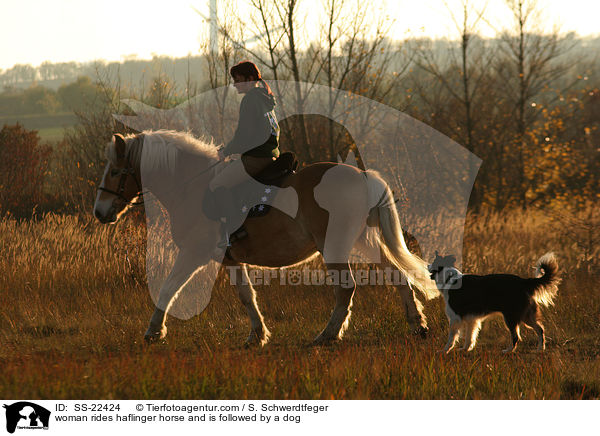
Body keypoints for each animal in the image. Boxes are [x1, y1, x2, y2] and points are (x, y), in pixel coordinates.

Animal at [94, 131, 438, 346]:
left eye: (114, 171)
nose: (100, 212)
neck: (191, 186)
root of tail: (362, 176)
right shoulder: (230, 259)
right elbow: (246, 295)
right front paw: (257, 335)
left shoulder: (194, 252)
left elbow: (168, 288)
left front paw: (154, 331)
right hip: (362, 240)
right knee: (397, 274)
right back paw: (417, 325)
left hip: (335, 245)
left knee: (346, 288)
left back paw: (326, 336)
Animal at [428, 254, 560, 352]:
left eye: (433, 262)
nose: (427, 265)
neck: (448, 279)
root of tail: (524, 281)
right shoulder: (472, 319)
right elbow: (470, 337)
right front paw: (465, 349)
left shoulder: (455, 318)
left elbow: (451, 337)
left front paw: (445, 350)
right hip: (526, 315)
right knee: (540, 330)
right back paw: (539, 350)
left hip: (511, 317)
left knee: (516, 336)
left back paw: (508, 351)